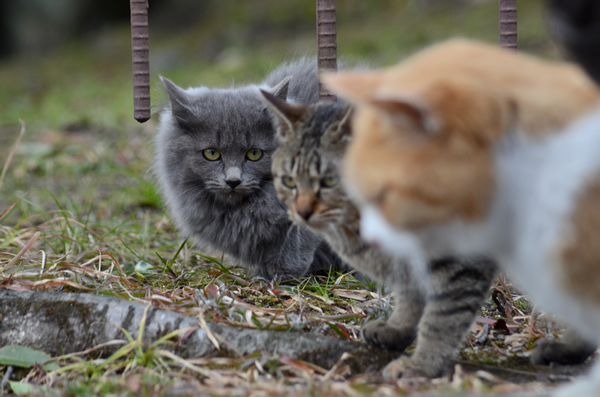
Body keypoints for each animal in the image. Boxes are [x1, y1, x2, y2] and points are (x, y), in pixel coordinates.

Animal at [152, 58, 344, 280]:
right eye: (211, 153)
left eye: (254, 153)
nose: (233, 180)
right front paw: (264, 275)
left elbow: (300, 236)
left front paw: (284, 275)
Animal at [262, 93, 496, 378]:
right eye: (289, 181)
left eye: (330, 181)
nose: (302, 212)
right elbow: (412, 293)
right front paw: (398, 329)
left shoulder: (459, 258)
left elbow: (443, 316)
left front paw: (422, 364)